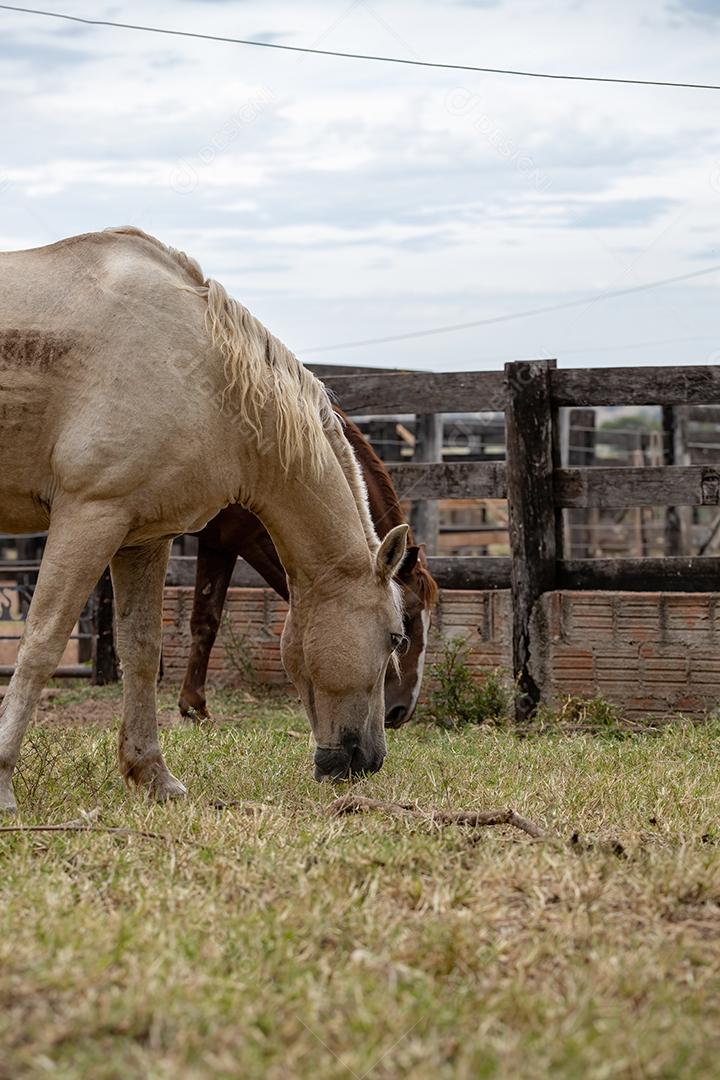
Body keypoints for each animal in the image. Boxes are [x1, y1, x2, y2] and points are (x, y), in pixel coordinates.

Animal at [0, 227, 409, 811]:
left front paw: (152, 775)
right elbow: (40, 644)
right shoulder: (89, 515)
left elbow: (141, 651)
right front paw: (3, 783)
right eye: (397, 638)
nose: (368, 759)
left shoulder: (142, 538)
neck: (203, 373)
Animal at [178, 413, 438, 728]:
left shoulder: (221, 541)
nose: (402, 710)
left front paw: (193, 705)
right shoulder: (245, 537)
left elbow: (206, 620)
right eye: (406, 620)